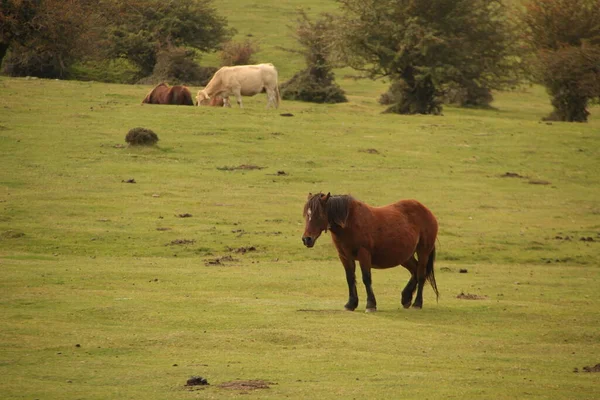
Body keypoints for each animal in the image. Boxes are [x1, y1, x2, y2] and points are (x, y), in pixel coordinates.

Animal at [302, 194, 438, 312]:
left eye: (319, 214)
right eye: (306, 215)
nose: (307, 239)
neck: (349, 222)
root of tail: (427, 211)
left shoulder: (364, 254)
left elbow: (366, 278)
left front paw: (370, 305)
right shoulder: (345, 257)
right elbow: (350, 278)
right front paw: (350, 304)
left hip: (423, 251)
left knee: (421, 274)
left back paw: (417, 303)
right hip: (405, 256)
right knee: (415, 271)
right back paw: (406, 298)